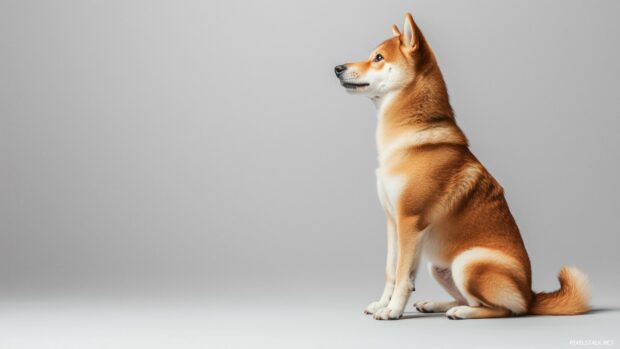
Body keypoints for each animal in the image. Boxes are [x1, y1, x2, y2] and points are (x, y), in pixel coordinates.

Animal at [334, 12, 592, 318]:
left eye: (378, 57)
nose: (338, 68)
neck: (410, 138)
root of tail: (531, 295)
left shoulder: (409, 222)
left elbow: (401, 275)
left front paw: (393, 310)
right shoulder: (392, 222)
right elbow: (391, 271)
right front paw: (382, 303)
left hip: (468, 263)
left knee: (504, 310)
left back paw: (463, 313)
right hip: (438, 266)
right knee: (467, 298)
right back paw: (435, 304)